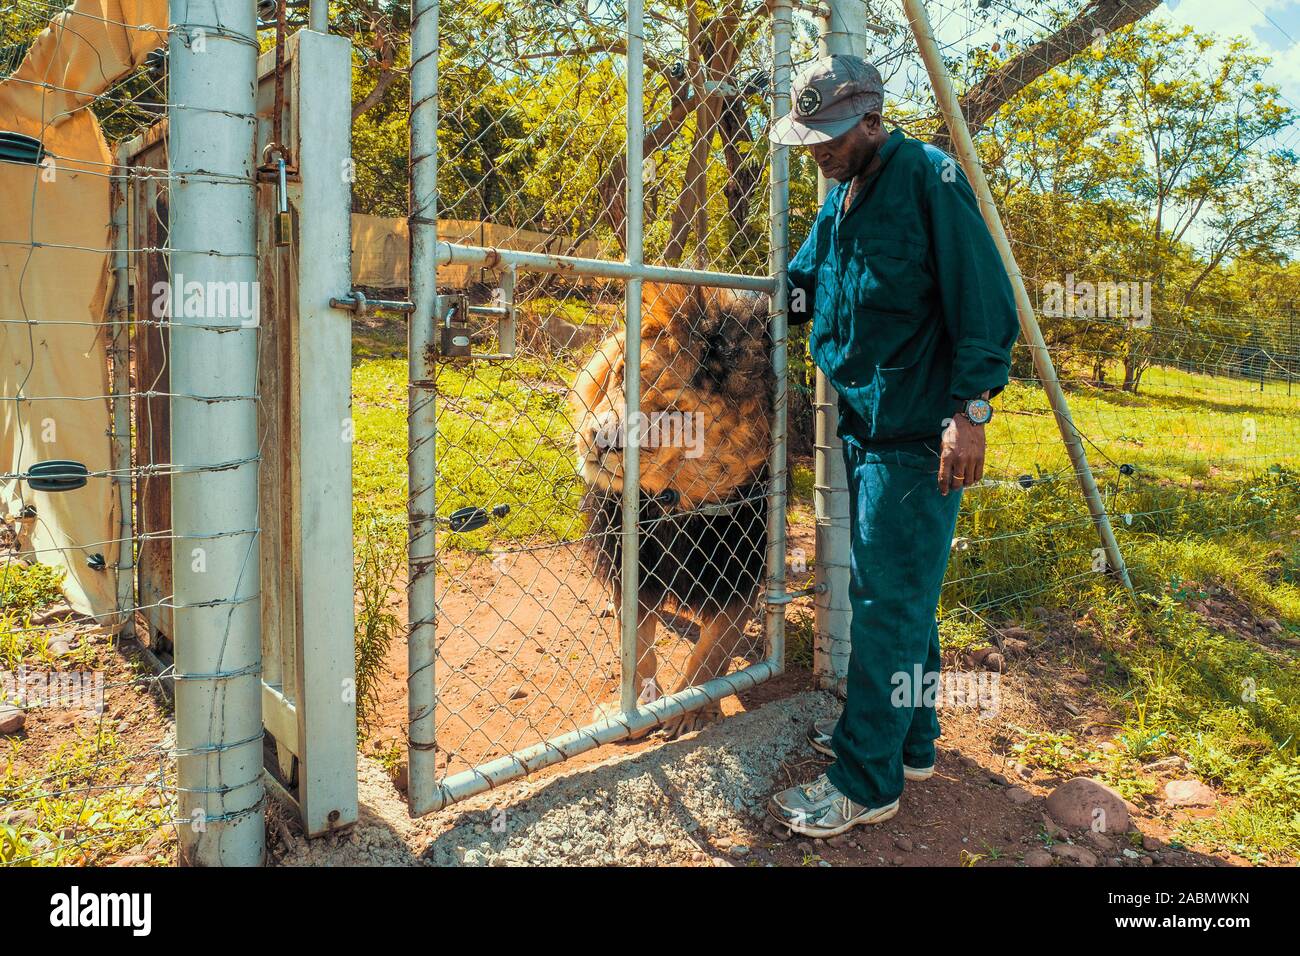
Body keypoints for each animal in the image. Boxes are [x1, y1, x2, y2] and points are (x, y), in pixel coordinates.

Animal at [569, 283, 769, 738]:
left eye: (674, 413)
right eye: (622, 372)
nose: (600, 439)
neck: (671, 504)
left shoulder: (739, 569)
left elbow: (713, 652)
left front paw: (690, 710)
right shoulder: (628, 559)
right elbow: (636, 644)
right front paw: (635, 706)